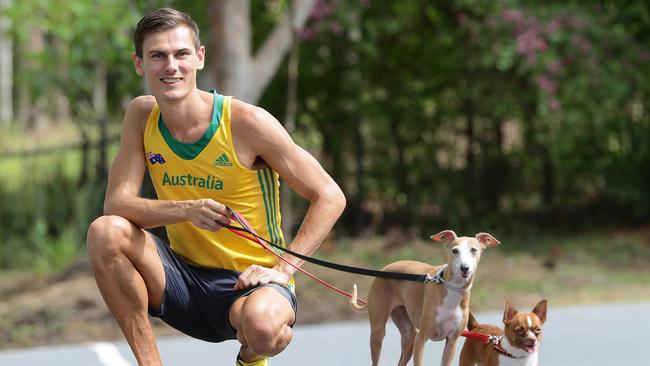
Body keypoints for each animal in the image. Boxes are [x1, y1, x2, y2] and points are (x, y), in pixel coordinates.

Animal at [350, 230, 496, 366]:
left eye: (474, 250)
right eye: (455, 251)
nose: (464, 268)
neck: (451, 289)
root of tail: (383, 269)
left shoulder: (451, 342)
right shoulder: (421, 339)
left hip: (409, 336)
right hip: (379, 332)